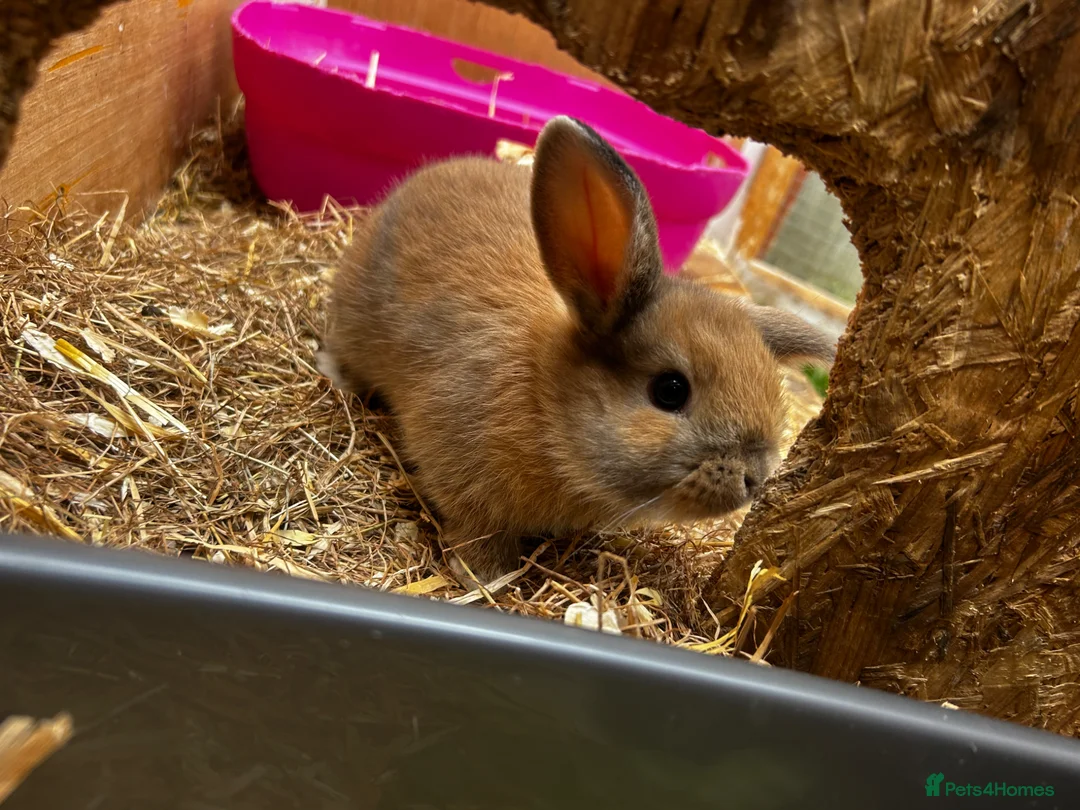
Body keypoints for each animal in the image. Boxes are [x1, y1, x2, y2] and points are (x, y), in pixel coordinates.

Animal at [318, 115, 836, 590]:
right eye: (670, 390)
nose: (755, 478)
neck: (546, 403)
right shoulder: (462, 473)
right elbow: (477, 531)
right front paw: (484, 576)